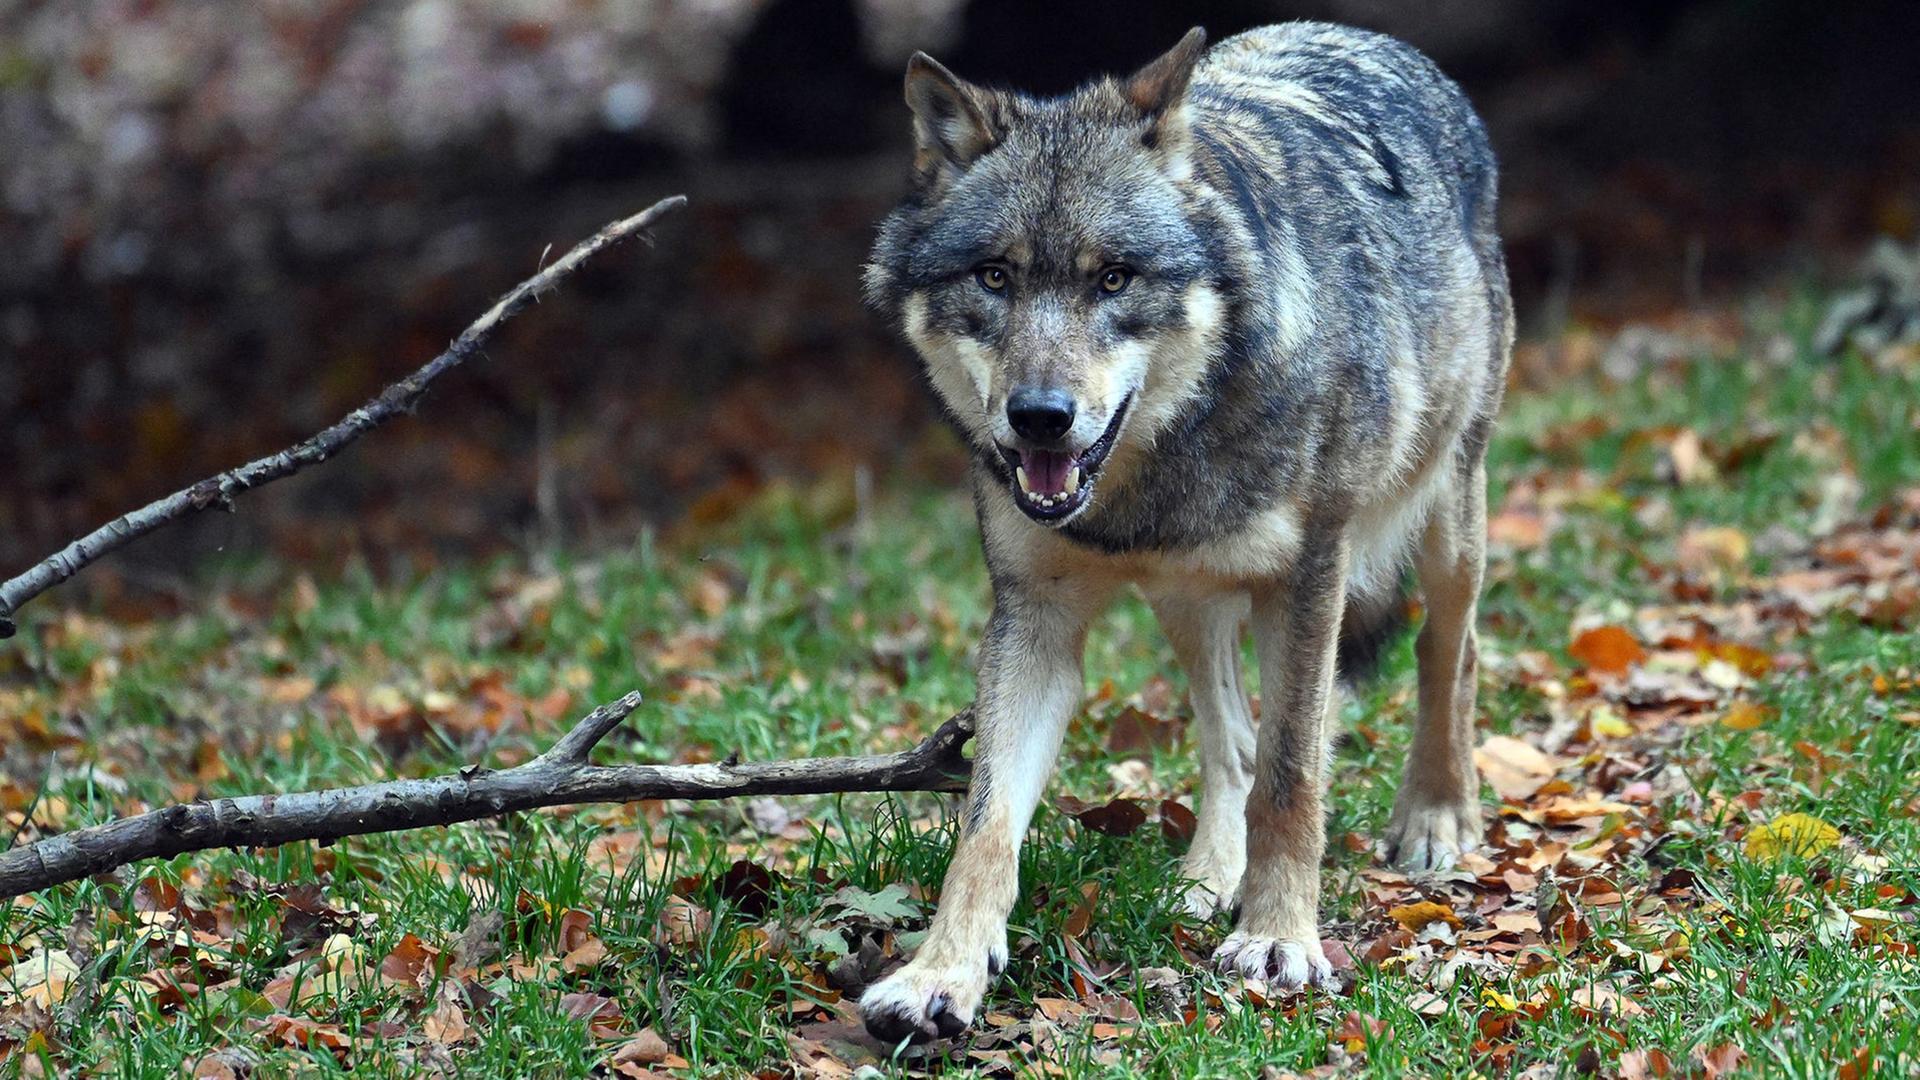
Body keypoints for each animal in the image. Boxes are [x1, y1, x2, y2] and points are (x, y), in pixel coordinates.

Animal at [858, 21, 1511, 1042]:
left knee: (1452, 651)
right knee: (1231, 737)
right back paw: (1206, 883)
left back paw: (1437, 819)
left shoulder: (1309, 580)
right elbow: (987, 826)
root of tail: (1366, 37)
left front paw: (1280, 941)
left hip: (1447, 518)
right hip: (1189, 603)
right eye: (995, 276)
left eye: (1114, 277)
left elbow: (1293, 779)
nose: (1038, 418)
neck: (1150, 481)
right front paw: (941, 974)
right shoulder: (1033, 620)